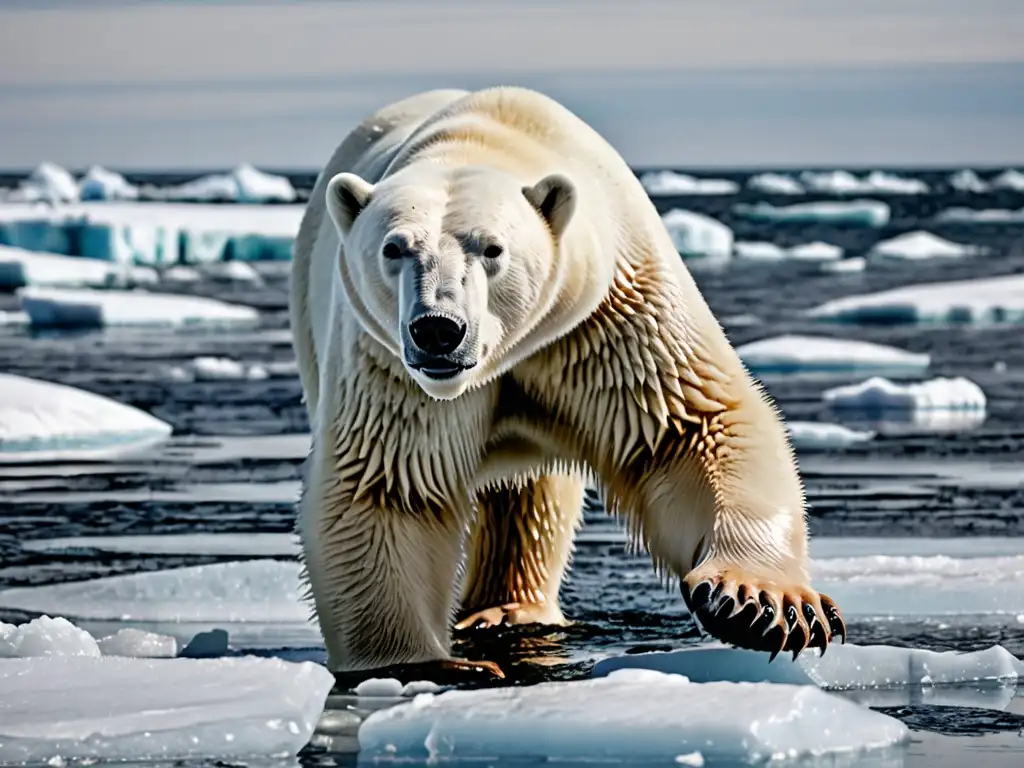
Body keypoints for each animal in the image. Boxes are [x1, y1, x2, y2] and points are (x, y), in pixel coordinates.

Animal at [286, 85, 839, 679]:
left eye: (492, 248)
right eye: (393, 249)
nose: (438, 329)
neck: (483, 133)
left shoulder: (607, 314)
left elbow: (689, 427)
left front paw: (760, 603)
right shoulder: (389, 360)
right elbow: (392, 482)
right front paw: (430, 666)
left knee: (532, 493)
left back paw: (509, 610)